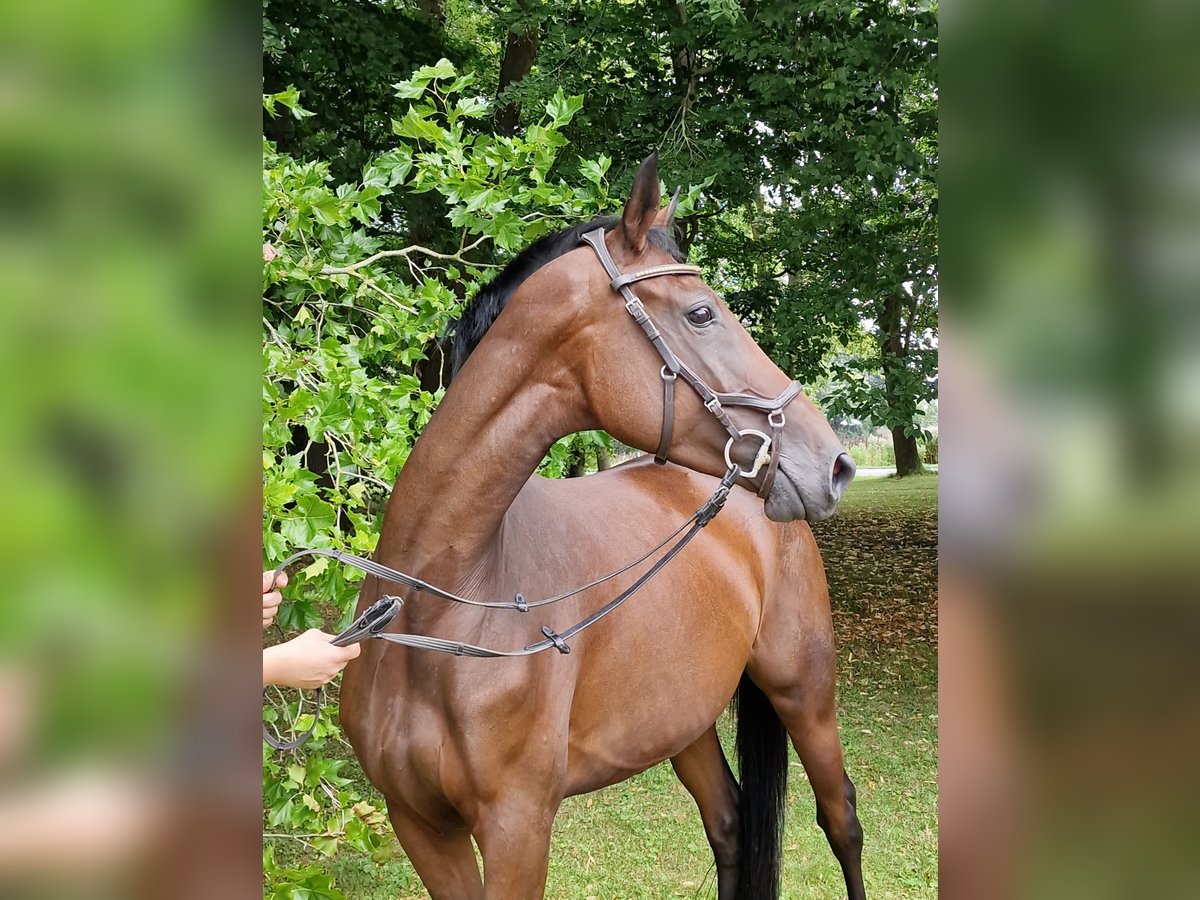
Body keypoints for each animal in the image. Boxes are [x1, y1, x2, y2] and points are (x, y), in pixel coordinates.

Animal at [338, 157, 864, 900]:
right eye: (701, 313)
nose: (836, 465)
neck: (438, 613)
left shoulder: (519, 828)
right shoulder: (420, 824)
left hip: (803, 688)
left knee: (840, 819)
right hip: (683, 718)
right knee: (731, 824)